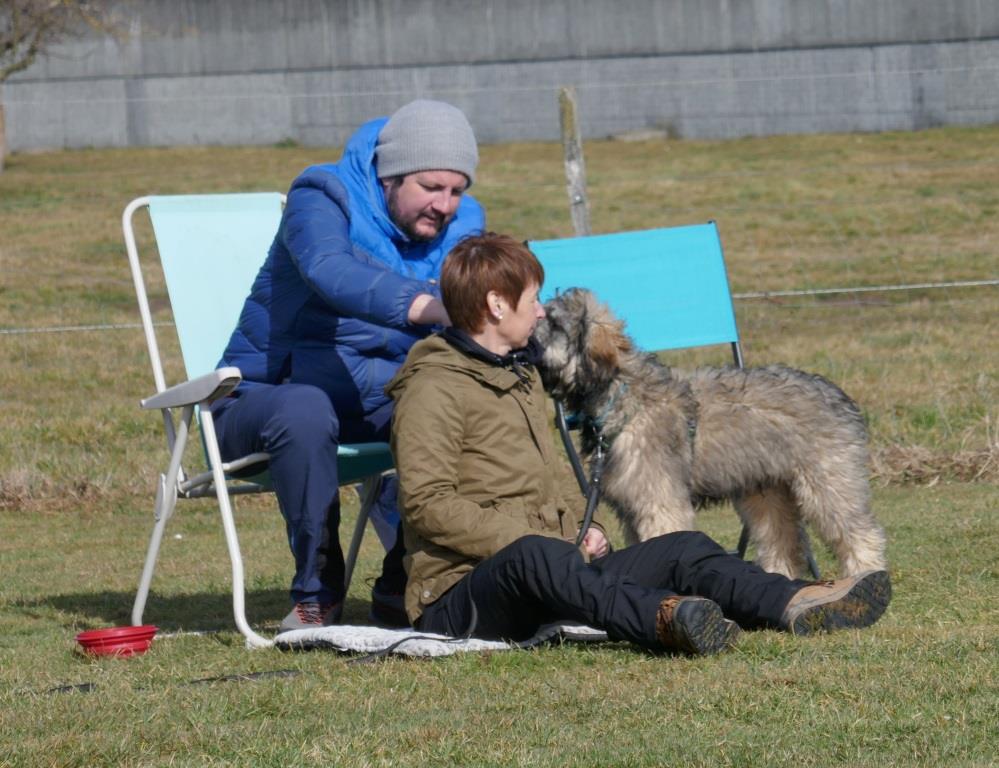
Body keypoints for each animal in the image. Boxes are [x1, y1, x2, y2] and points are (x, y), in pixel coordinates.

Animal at [533, 287, 887, 579]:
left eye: (554, 323)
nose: (526, 341)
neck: (622, 397)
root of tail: (839, 394)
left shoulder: (659, 501)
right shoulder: (631, 507)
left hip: (828, 482)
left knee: (858, 531)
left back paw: (868, 578)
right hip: (768, 488)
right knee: (781, 539)